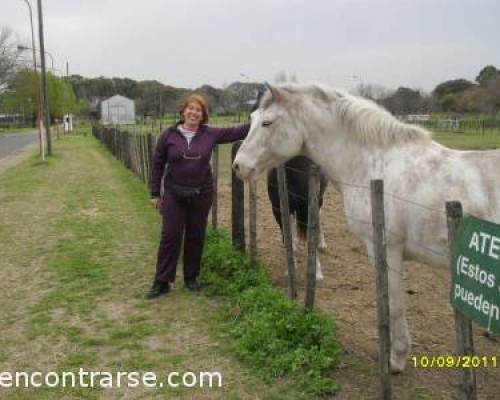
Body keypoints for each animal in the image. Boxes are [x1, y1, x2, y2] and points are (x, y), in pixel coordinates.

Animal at [234, 83, 500, 372]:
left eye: (267, 122)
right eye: (250, 120)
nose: (239, 166)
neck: (374, 163)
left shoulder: (386, 250)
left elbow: (394, 305)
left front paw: (396, 359)